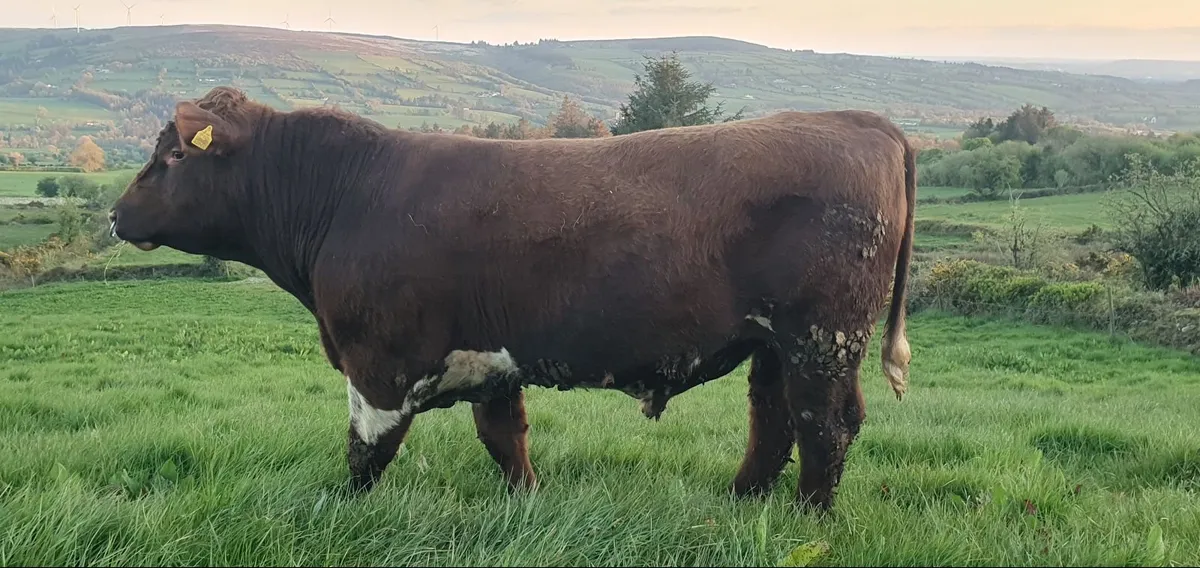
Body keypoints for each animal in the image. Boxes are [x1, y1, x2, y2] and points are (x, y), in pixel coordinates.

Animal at [109, 86, 914, 512]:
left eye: (172, 155)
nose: (115, 215)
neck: (347, 194)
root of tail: (858, 120)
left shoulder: (378, 364)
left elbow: (365, 454)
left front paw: (344, 513)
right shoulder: (490, 357)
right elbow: (506, 438)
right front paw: (527, 501)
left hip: (821, 337)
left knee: (825, 425)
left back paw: (810, 517)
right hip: (773, 344)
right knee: (773, 419)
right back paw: (742, 500)